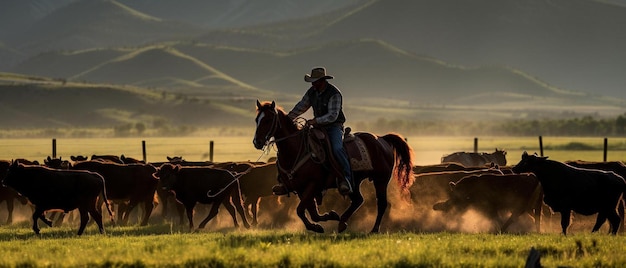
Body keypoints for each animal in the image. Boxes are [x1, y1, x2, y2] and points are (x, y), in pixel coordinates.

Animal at [251, 100, 412, 232]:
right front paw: (329, 217)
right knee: (358, 200)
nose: (257, 142)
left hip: (381, 180)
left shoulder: (313, 184)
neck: (296, 149)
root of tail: (382, 139)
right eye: (257, 120)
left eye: (268, 120)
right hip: (354, 181)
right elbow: (311, 212)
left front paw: (317, 226)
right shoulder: (300, 188)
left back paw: (374, 230)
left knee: (382, 203)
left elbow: (301, 210)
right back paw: (342, 222)